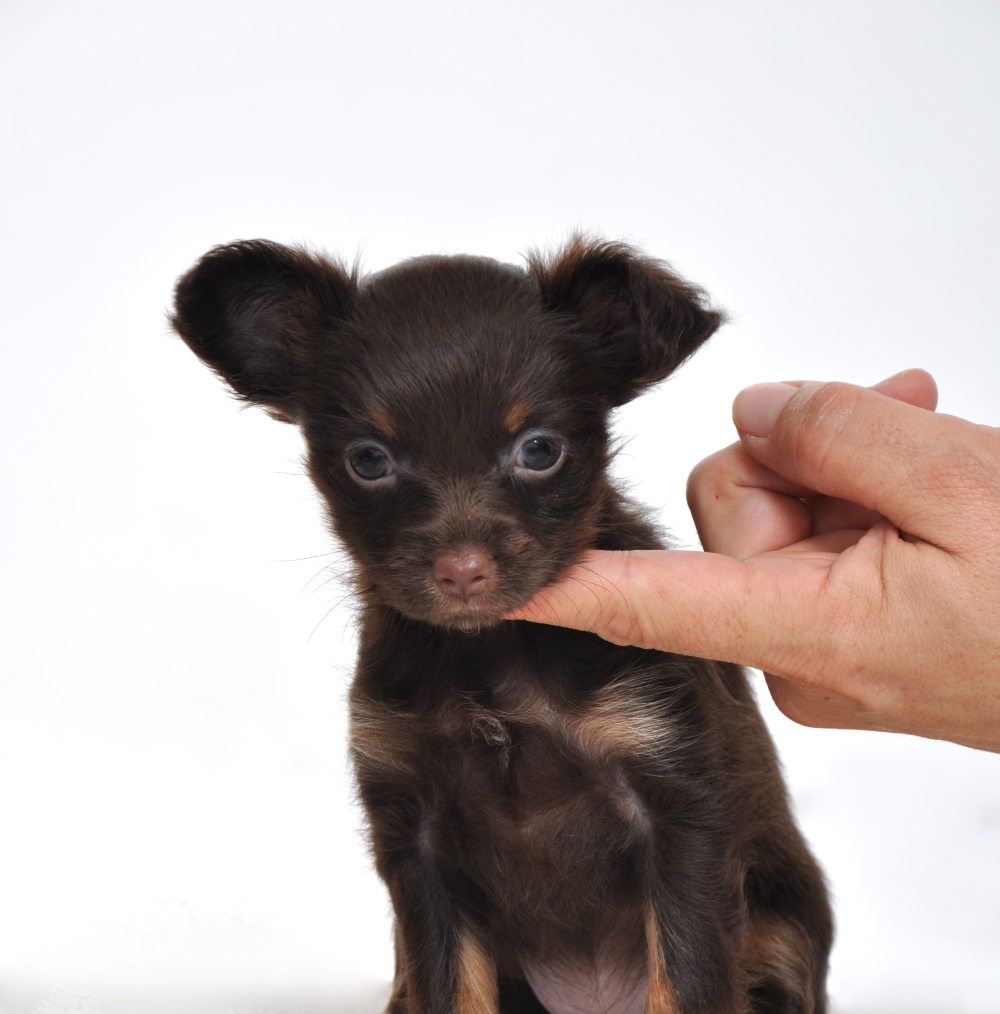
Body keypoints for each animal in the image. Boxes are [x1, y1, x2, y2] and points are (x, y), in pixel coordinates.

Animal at [171, 236, 832, 1014]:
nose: (462, 570)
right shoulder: (417, 838)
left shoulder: (678, 805)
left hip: (779, 941)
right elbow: (450, 988)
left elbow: (686, 982)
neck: (492, 658)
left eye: (539, 450)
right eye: (368, 460)